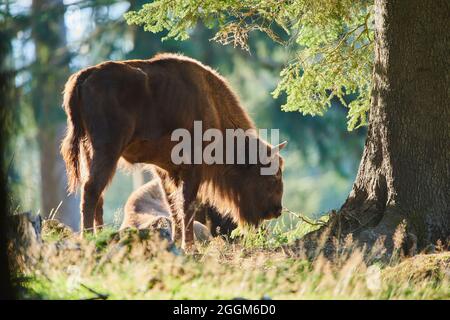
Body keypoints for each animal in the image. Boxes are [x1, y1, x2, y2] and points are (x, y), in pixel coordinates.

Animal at [60, 52, 284, 249]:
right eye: (272, 176)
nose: (277, 210)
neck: (212, 106)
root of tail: (85, 76)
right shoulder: (192, 168)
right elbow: (186, 206)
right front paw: (189, 246)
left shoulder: (165, 171)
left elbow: (173, 205)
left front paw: (177, 242)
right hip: (107, 151)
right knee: (91, 190)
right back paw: (89, 237)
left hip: (90, 152)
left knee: (98, 195)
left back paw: (101, 235)